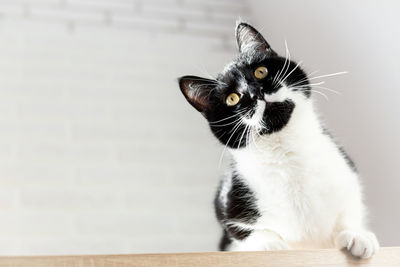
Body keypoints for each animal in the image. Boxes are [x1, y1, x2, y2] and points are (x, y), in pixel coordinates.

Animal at [177, 21, 378, 260]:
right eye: (232, 98)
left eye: (260, 71)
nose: (255, 92)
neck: (287, 152)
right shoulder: (228, 199)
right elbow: (243, 229)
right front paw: (269, 244)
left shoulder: (346, 171)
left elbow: (350, 209)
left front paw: (357, 235)